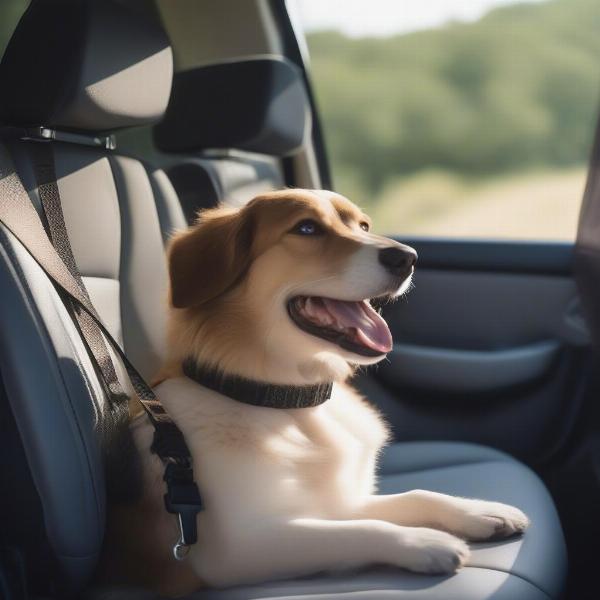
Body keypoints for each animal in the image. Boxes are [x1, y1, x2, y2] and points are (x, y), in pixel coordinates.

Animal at [99, 189, 528, 596]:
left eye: (363, 225)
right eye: (306, 228)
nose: (408, 258)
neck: (288, 405)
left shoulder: (339, 501)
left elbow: (417, 495)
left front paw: (479, 513)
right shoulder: (233, 548)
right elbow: (358, 530)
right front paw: (425, 542)